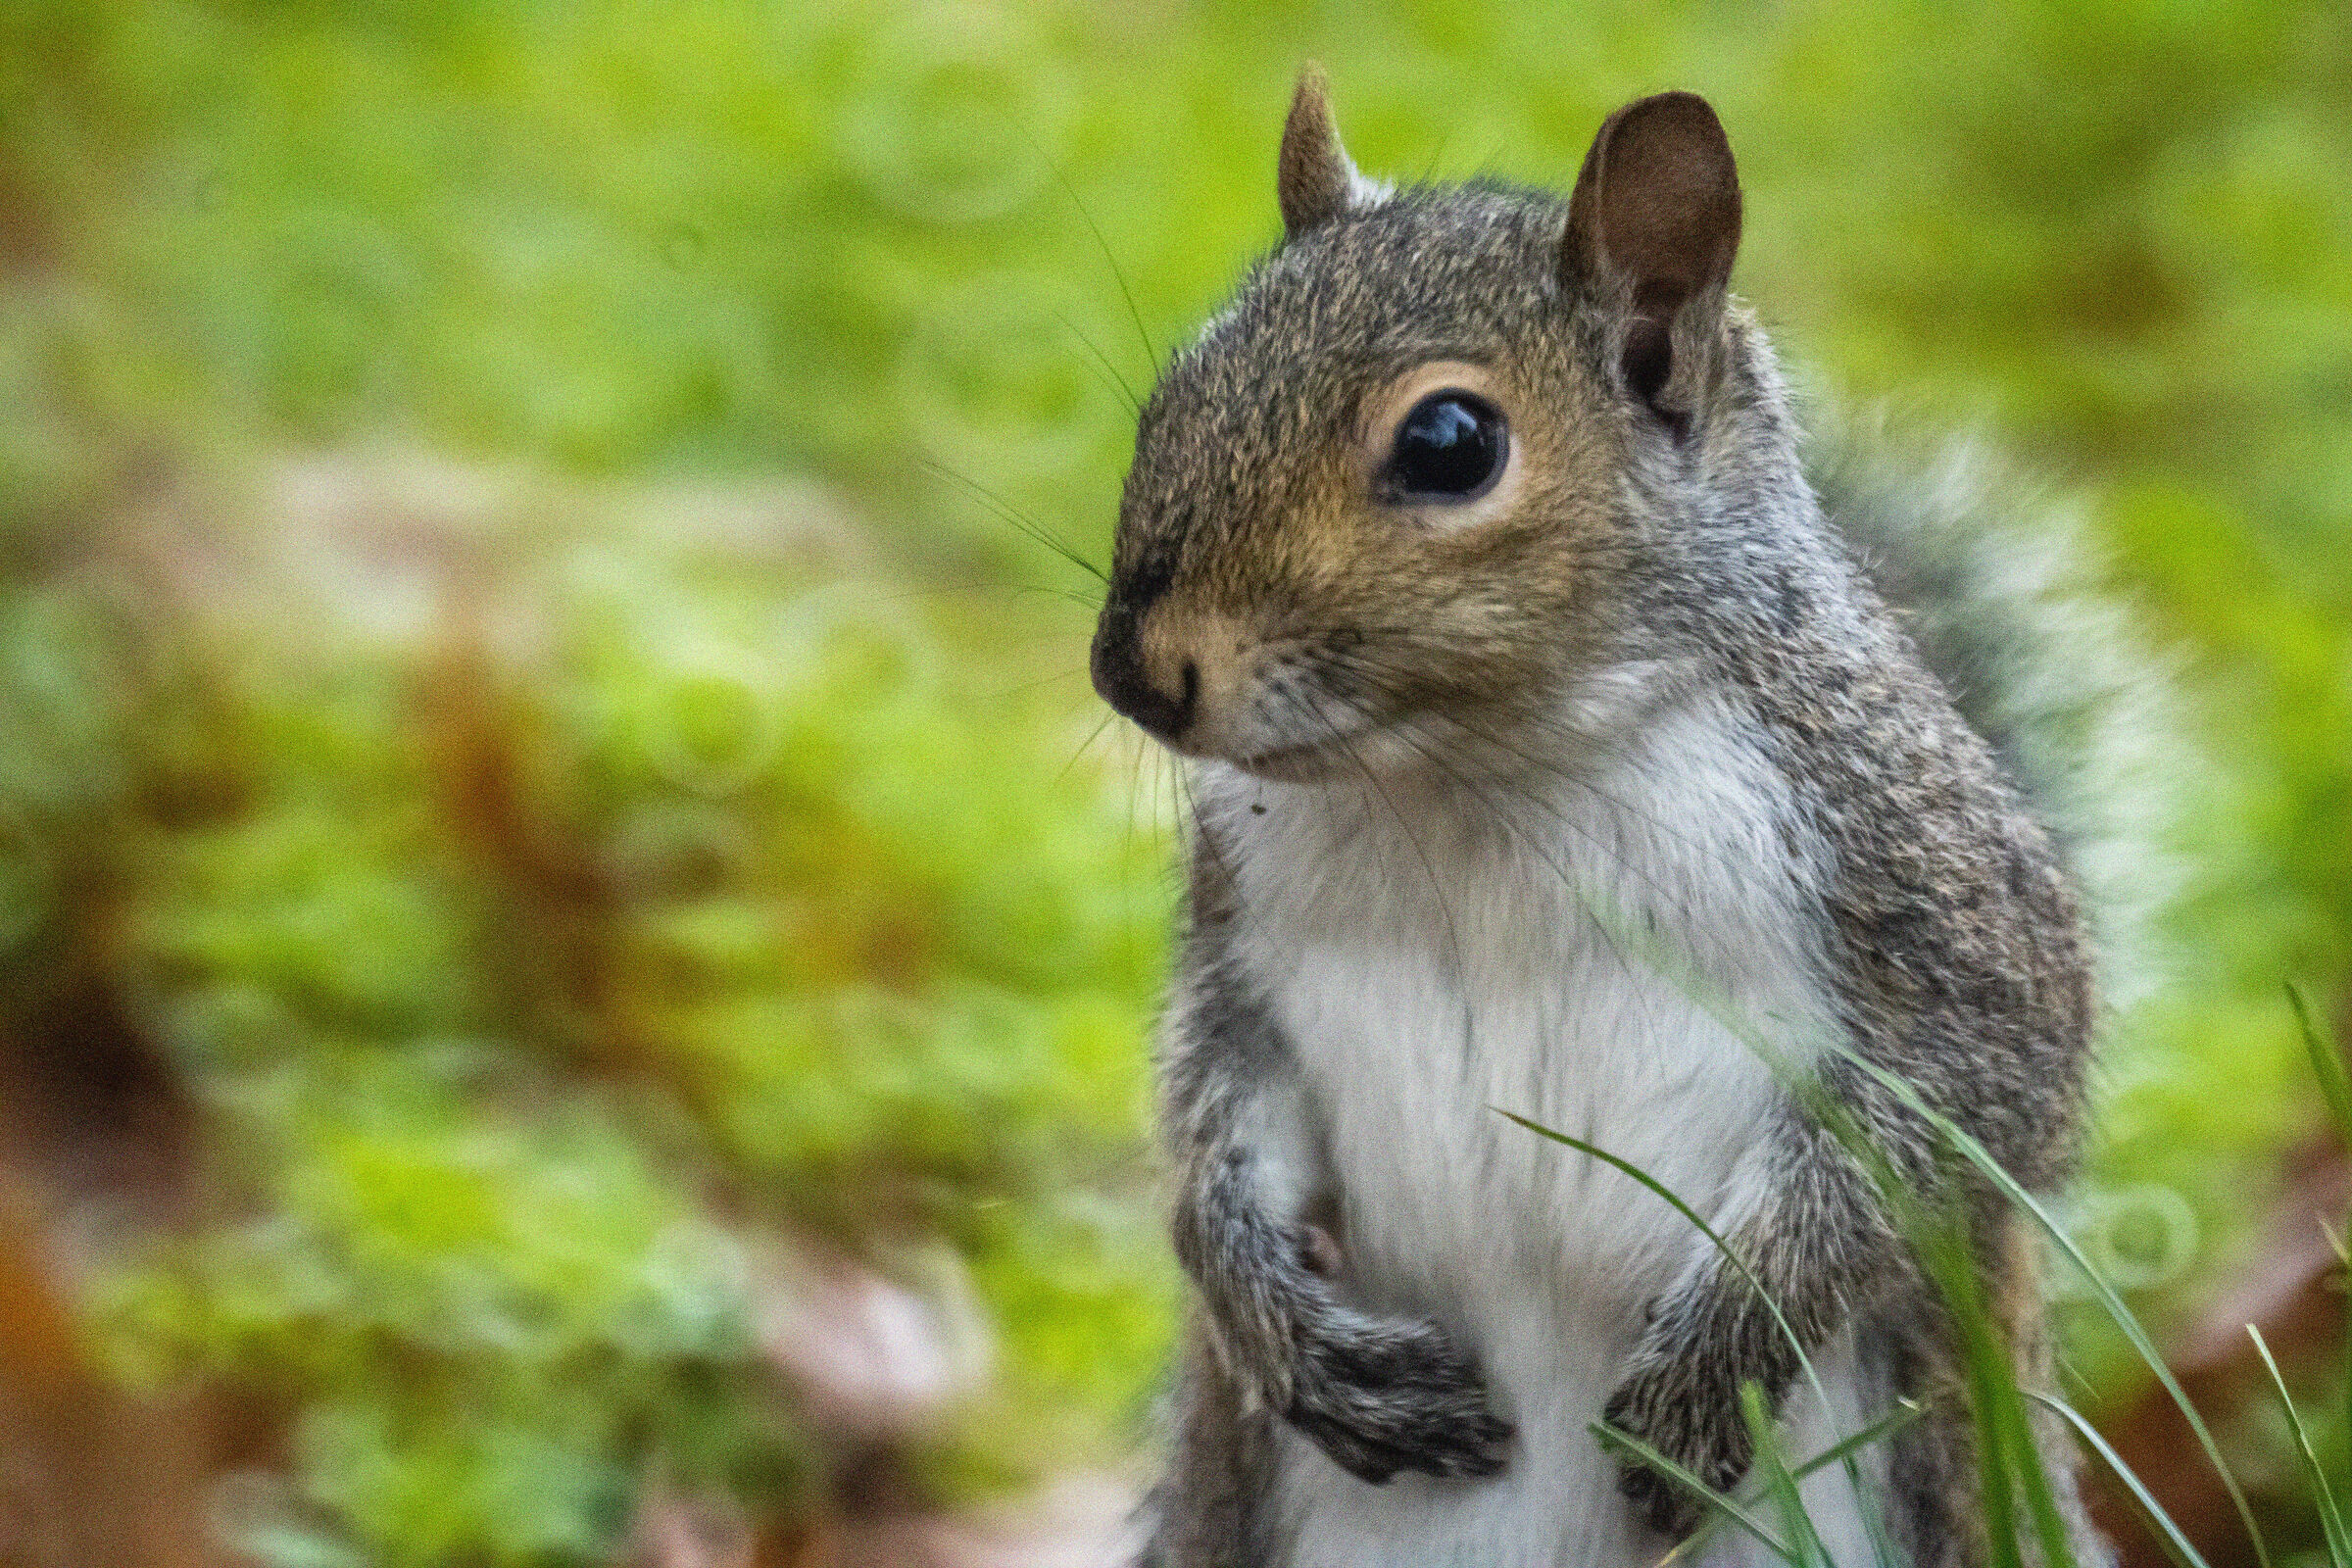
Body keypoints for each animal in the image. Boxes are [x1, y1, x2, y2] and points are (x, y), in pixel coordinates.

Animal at [1090, 67, 2152, 1568]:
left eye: (1451, 444)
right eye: (1178, 389)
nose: (1131, 670)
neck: (1474, 782)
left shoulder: (1932, 893)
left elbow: (1960, 1110)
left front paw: (1723, 1355)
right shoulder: (1241, 939)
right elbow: (1212, 1107)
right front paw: (1279, 1320)